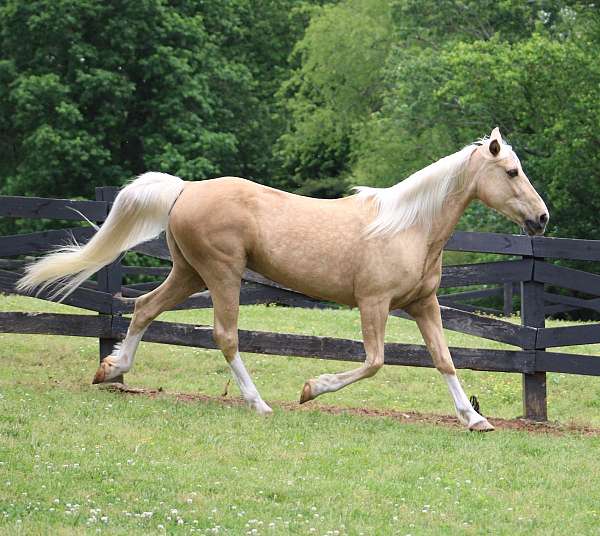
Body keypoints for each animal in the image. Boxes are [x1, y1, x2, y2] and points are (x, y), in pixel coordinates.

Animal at [17, 129, 548, 432]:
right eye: (511, 171)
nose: (542, 218)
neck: (407, 226)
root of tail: (186, 188)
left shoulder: (423, 305)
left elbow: (445, 361)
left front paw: (476, 419)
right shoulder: (373, 303)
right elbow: (374, 362)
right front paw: (310, 388)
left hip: (188, 272)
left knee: (145, 306)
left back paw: (111, 370)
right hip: (222, 274)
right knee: (225, 336)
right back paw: (260, 405)